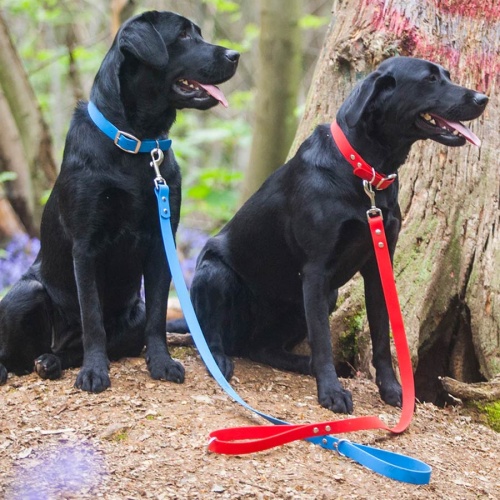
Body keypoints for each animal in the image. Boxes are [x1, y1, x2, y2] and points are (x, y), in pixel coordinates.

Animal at [0, 11, 240, 392]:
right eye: (183, 35)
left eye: (199, 33)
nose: (235, 56)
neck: (138, 143)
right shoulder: (85, 247)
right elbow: (92, 317)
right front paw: (94, 372)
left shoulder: (161, 242)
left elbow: (157, 314)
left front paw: (162, 363)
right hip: (26, 294)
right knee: (15, 355)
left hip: (132, 315)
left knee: (71, 349)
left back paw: (51, 361)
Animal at [181, 55, 488, 414]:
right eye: (429, 80)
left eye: (447, 76)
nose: (483, 99)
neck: (366, 172)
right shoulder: (315, 271)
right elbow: (324, 340)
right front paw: (331, 392)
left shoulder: (377, 268)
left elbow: (381, 338)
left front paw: (392, 390)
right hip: (217, 274)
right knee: (210, 336)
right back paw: (220, 360)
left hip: (327, 296)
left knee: (260, 347)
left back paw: (302, 363)